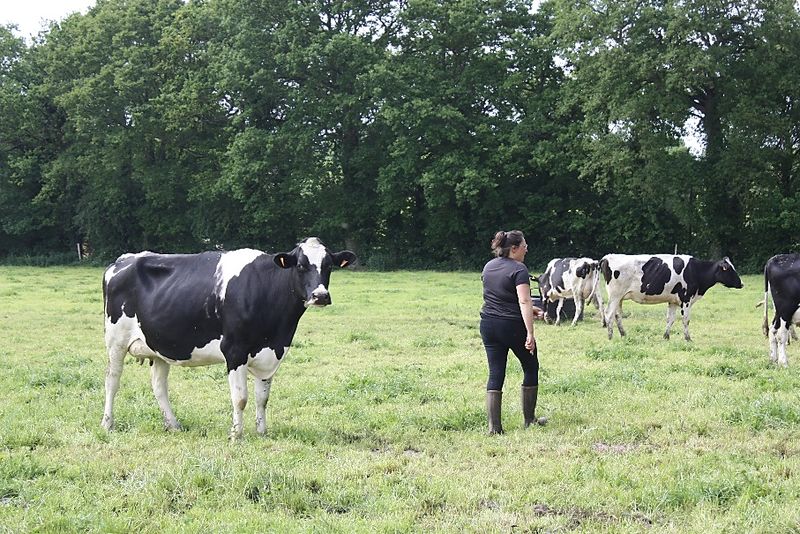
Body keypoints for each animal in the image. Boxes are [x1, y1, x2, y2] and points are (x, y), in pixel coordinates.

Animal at [102, 239, 356, 440]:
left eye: (329, 266)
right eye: (301, 265)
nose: (320, 296)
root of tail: (123, 260)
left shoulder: (270, 353)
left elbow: (262, 398)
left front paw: (262, 432)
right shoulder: (235, 350)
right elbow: (240, 398)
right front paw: (236, 434)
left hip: (160, 346)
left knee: (159, 386)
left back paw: (173, 425)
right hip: (116, 341)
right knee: (112, 380)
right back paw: (108, 423)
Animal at [600, 253, 744, 342]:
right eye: (729, 269)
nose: (742, 283)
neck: (695, 271)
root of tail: (608, 257)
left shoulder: (673, 300)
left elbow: (670, 319)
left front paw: (666, 336)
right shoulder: (686, 299)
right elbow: (686, 320)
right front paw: (688, 338)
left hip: (620, 298)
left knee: (617, 315)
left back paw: (623, 334)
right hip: (615, 295)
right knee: (609, 313)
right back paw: (610, 336)